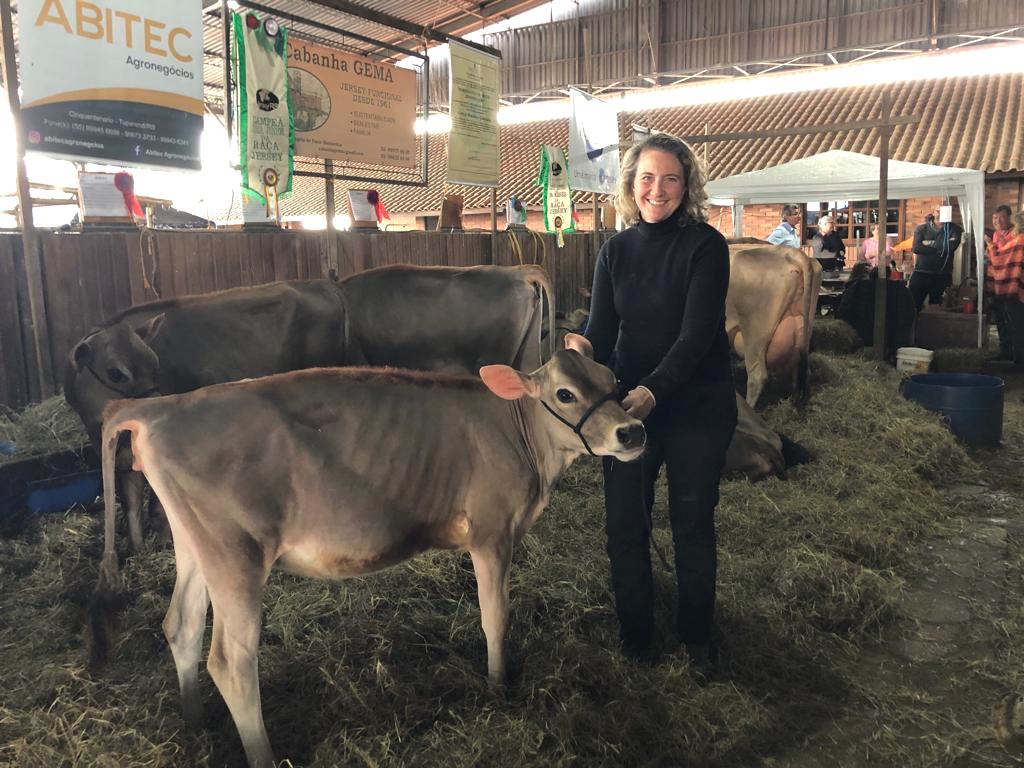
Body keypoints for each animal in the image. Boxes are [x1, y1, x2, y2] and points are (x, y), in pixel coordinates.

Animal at [90, 335, 647, 768]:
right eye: (565, 394)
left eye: (612, 379)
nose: (632, 430)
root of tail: (161, 406)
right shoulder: (491, 532)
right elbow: (495, 616)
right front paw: (497, 687)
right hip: (235, 554)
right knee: (231, 660)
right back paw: (262, 754)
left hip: (194, 546)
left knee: (180, 626)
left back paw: (196, 723)